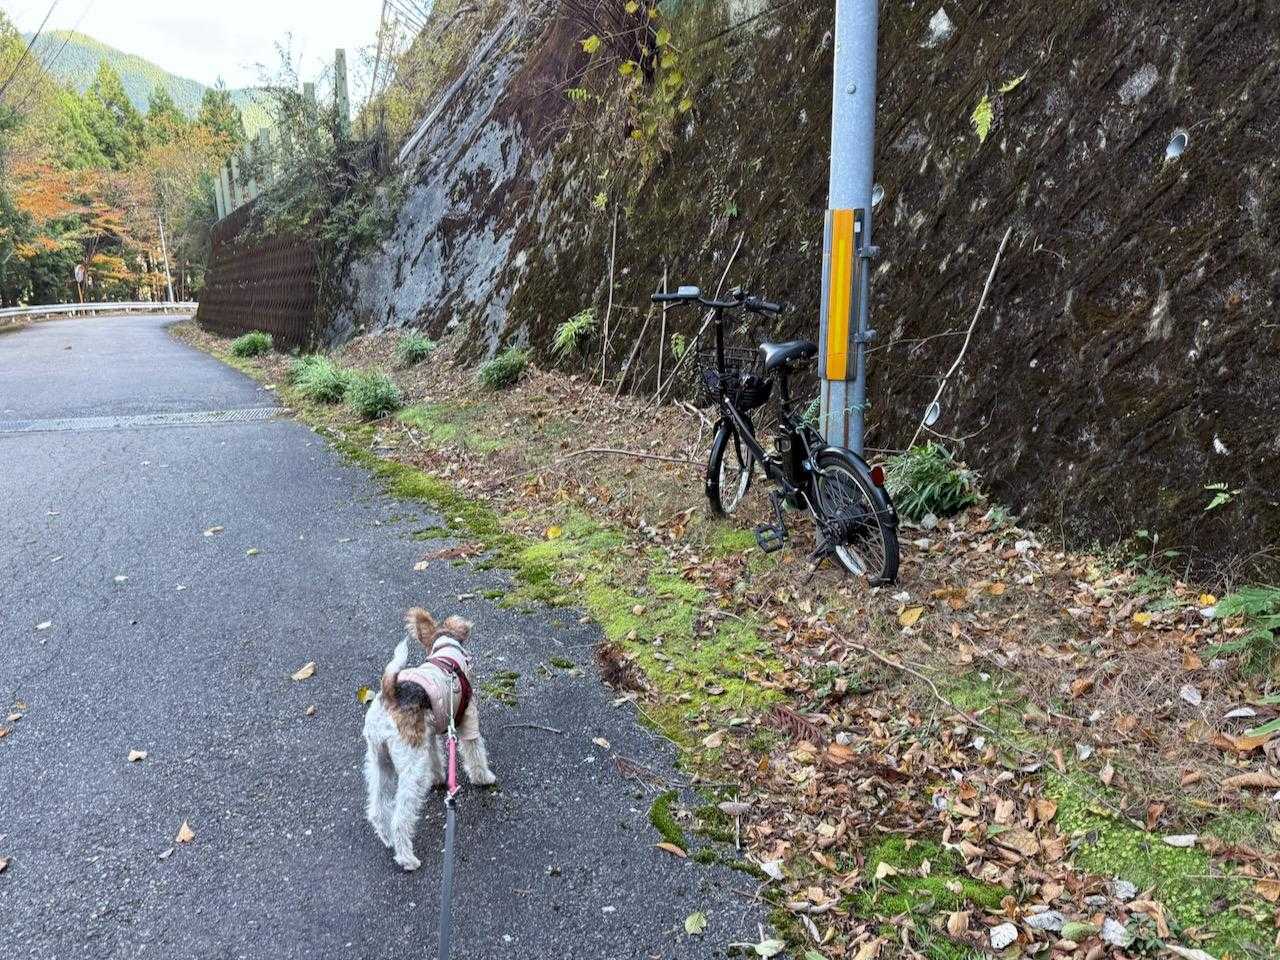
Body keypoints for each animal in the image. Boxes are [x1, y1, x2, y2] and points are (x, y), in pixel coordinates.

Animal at [362, 607, 496, 871]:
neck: (446, 654)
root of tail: (390, 695)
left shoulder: (431, 733)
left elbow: (436, 757)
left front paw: (439, 779)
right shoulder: (467, 720)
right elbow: (475, 752)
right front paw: (484, 778)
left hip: (379, 761)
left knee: (378, 809)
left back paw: (387, 839)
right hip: (412, 767)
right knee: (400, 817)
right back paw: (407, 858)